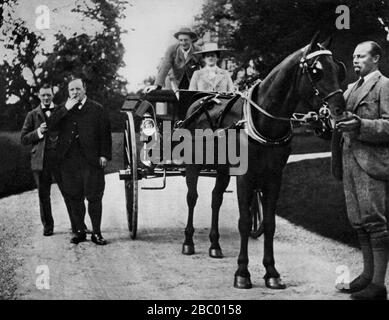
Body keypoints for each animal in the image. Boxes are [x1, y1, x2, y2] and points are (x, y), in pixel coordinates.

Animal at [180, 31, 348, 288]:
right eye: (315, 71)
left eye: (338, 68)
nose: (338, 111)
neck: (263, 120)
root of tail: (200, 102)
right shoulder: (245, 177)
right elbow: (244, 222)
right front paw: (242, 273)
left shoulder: (274, 177)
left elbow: (269, 224)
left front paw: (271, 273)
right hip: (193, 165)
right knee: (192, 197)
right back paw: (188, 242)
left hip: (223, 170)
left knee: (216, 199)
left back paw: (215, 245)